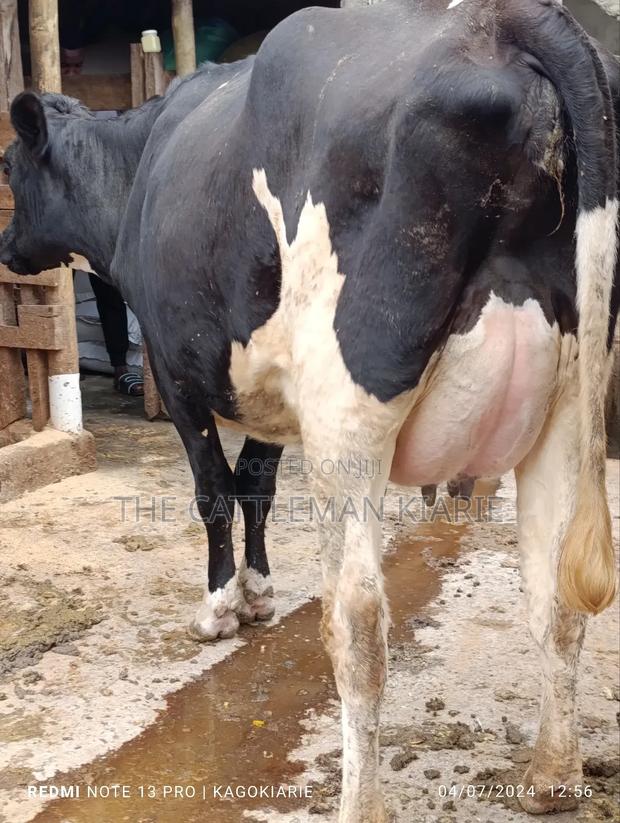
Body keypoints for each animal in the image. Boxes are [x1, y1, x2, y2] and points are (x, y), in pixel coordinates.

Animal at [1, 1, 618, 820]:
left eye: (8, 168)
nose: (6, 247)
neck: (139, 166)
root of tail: (505, 21)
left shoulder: (177, 368)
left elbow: (214, 491)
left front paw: (221, 607)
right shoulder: (276, 395)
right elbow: (258, 485)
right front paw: (260, 592)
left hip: (346, 410)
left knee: (358, 625)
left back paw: (362, 802)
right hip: (565, 407)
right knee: (556, 595)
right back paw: (551, 775)